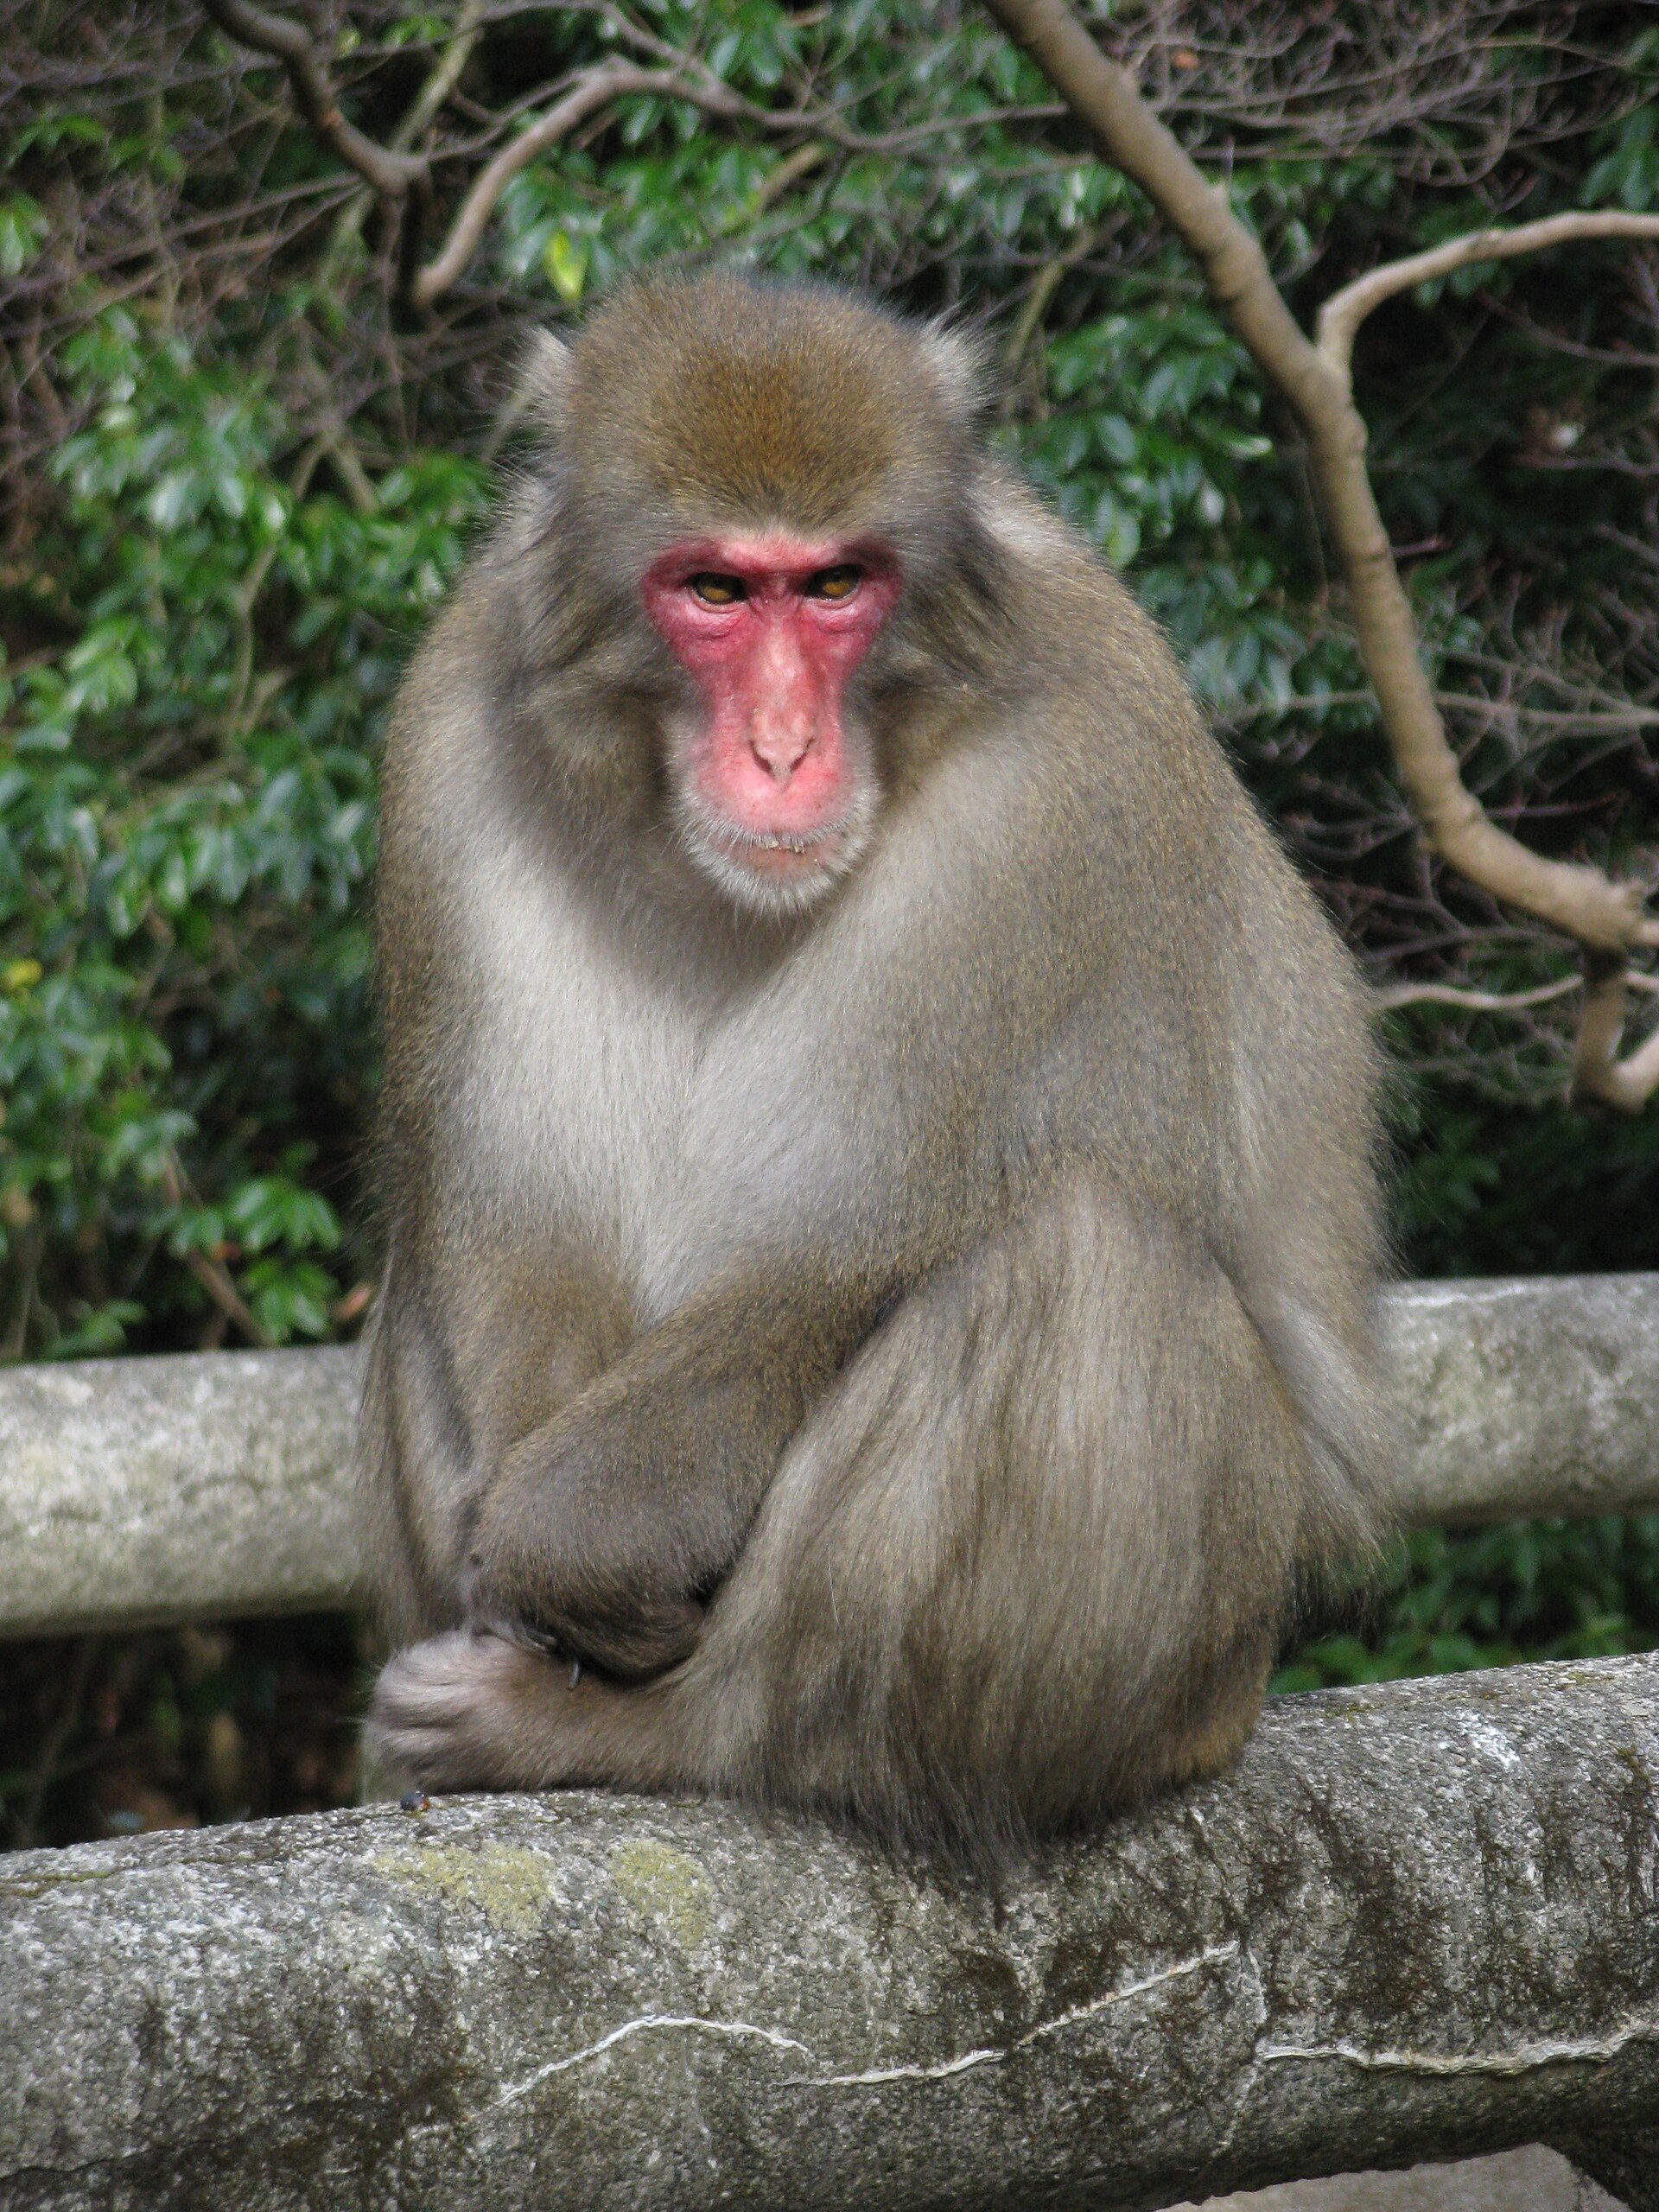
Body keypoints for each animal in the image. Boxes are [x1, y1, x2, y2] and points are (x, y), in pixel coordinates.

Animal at [361, 270, 1391, 1862]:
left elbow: (832, 1250)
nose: (785, 750)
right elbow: (513, 1225)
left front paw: (562, 1568)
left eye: (838, 586)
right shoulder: (455, 744)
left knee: (1086, 1262)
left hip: (1194, 1690)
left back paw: (656, 1732)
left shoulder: (1060, 785)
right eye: (718, 593)